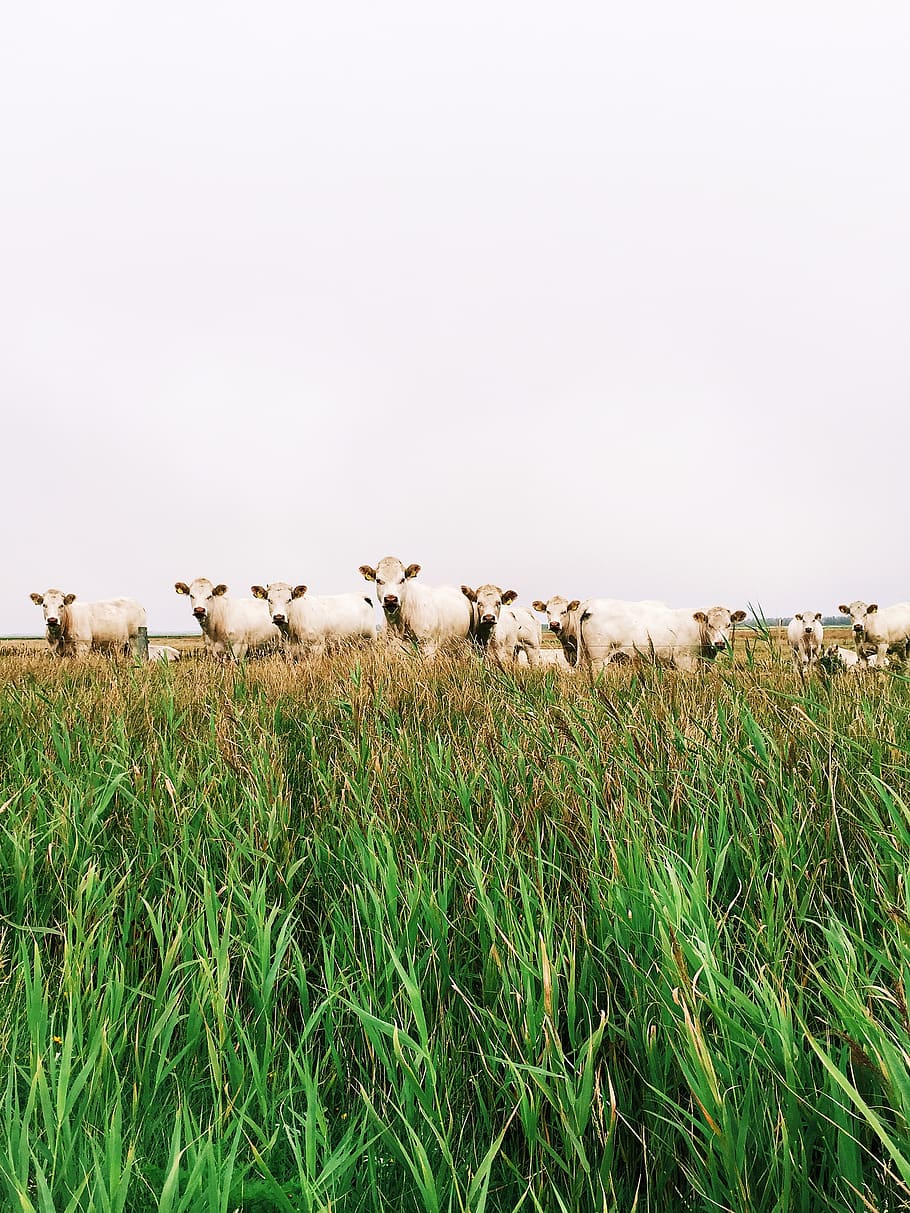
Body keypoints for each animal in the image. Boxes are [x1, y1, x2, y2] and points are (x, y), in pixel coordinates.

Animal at [575, 600, 747, 674]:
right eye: (710, 625)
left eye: (728, 625)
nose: (719, 643)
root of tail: (591, 603)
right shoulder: (684, 660)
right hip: (599, 657)